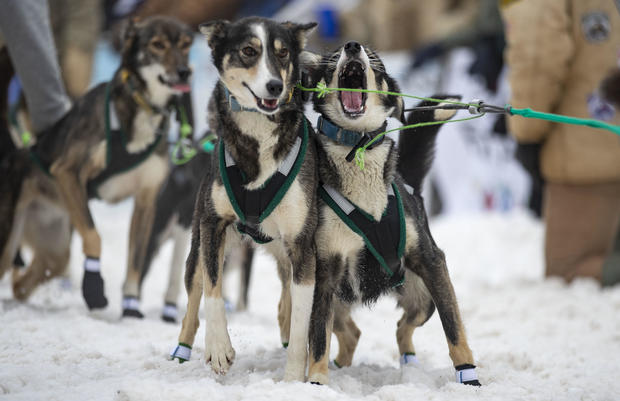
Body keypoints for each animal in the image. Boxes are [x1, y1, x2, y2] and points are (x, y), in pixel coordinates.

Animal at [171, 18, 320, 382]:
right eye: (249, 51)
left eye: (283, 54)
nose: (275, 86)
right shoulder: (213, 225)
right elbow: (213, 292)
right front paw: (218, 349)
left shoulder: (301, 244)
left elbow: (301, 325)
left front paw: (293, 381)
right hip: (199, 246)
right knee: (192, 302)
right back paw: (180, 352)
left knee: (287, 304)